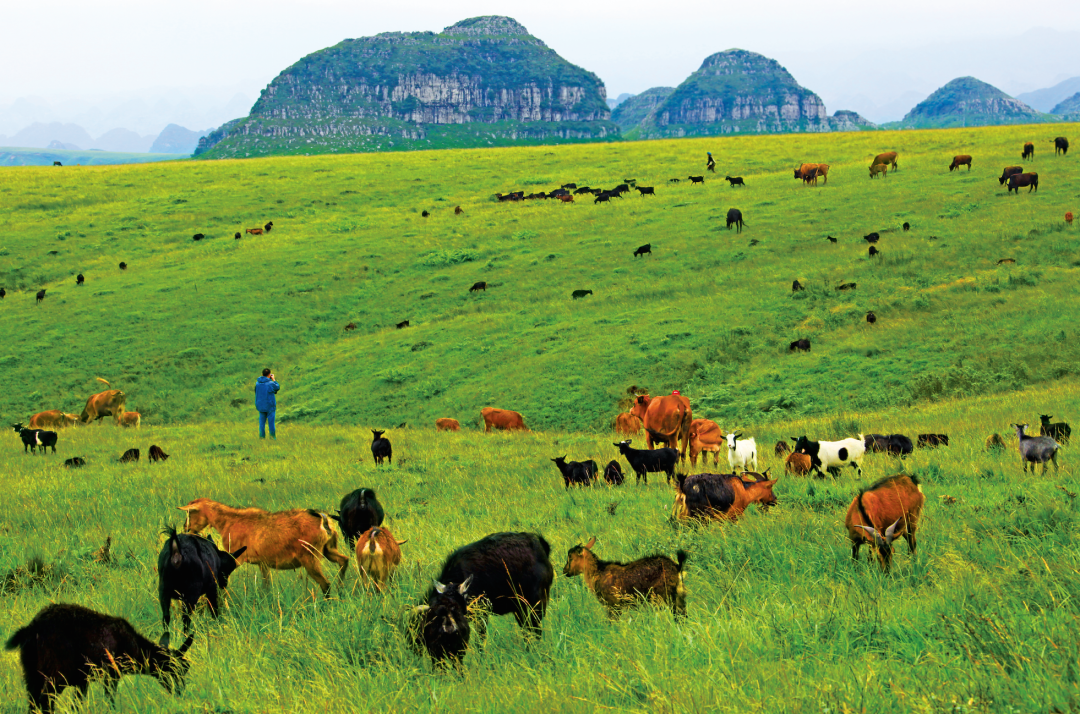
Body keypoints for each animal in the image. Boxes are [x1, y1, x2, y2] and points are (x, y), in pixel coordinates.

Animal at [4, 600, 193, 712]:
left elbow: (76, 705)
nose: (180, 693)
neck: (134, 647)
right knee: (45, 700)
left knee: (33, 702)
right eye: (178, 670)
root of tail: (31, 629)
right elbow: (110, 700)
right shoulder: (111, 674)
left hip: (31, 670)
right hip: (56, 671)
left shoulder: (82, 681)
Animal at [179, 501, 349, 596]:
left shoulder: (236, 558)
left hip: (310, 558)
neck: (228, 521)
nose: (185, 528)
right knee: (344, 561)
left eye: (190, 512)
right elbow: (266, 586)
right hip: (328, 550)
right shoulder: (263, 563)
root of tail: (324, 521)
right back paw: (341, 589)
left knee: (325, 584)